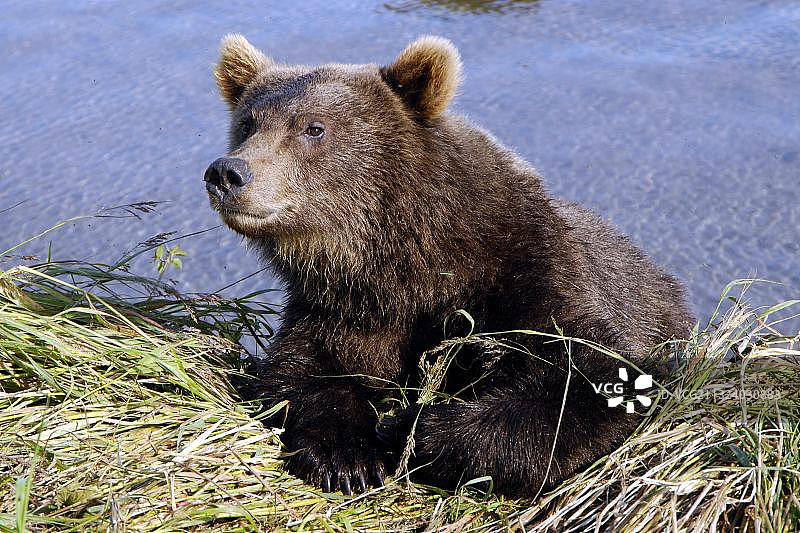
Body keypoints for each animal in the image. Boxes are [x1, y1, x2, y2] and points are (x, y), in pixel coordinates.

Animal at [203, 34, 693, 498]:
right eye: (247, 124)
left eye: (313, 127)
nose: (227, 173)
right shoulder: (341, 309)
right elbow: (303, 375)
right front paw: (347, 457)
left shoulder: (531, 273)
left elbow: (590, 374)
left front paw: (408, 428)